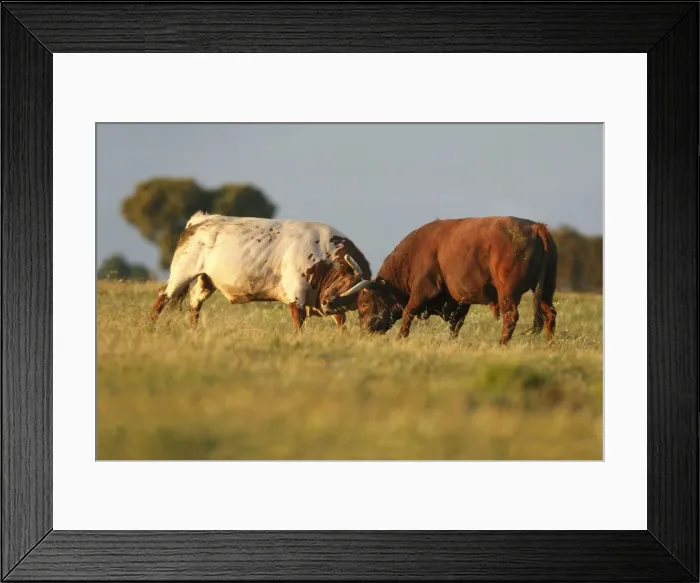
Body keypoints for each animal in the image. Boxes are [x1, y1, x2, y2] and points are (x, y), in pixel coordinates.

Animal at [148, 211, 372, 332]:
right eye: (345, 283)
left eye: (356, 300)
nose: (326, 303)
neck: (323, 253)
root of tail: (200, 219)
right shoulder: (296, 291)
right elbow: (298, 319)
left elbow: (340, 320)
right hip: (182, 272)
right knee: (163, 295)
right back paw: (150, 326)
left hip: (207, 280)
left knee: (194, 301)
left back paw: (193, 330)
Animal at [327, 216, 557, 344]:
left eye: (364, 303)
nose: (364, 332)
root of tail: (536, 227)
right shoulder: (460, 301)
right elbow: (456, 325)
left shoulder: (423, 290)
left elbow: (408, 313)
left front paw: (401, 339)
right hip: (546, 290)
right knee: (550, 315)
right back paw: (549, 345)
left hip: (507, 292)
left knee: (511, 317)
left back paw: (501, 344)